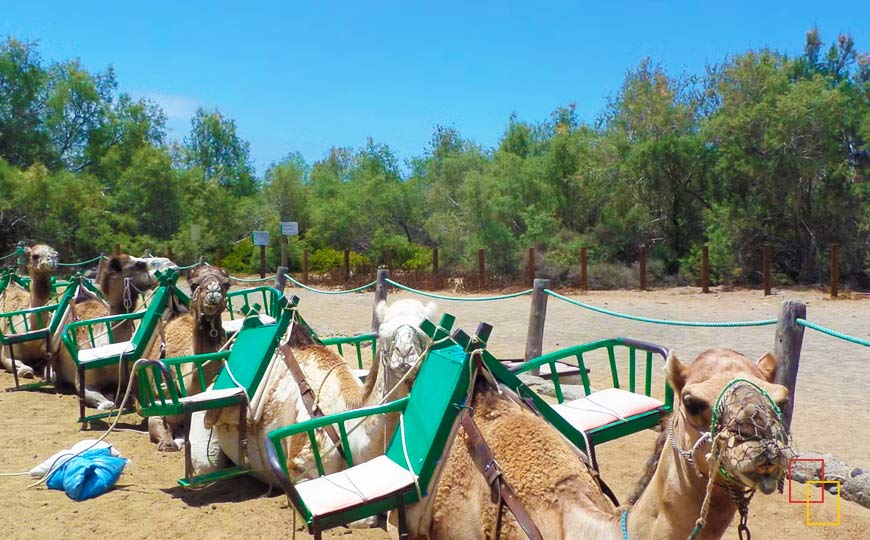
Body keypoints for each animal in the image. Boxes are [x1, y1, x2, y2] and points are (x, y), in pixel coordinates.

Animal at [0, 245, 59, 380]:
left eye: (57, 254)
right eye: (35, 256)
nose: (53, 259)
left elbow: (51, 371)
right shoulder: (6, 353)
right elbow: (24, 369)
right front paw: (27, 372)